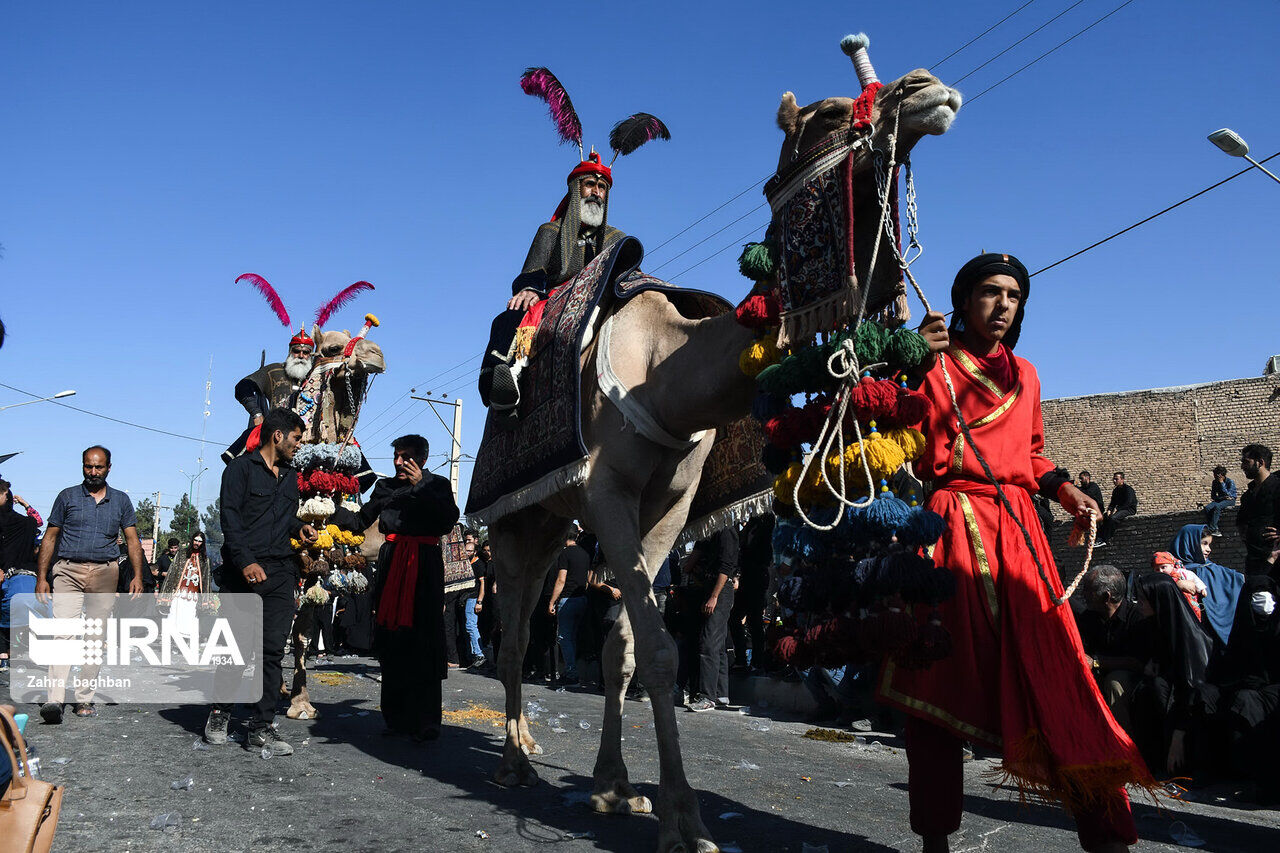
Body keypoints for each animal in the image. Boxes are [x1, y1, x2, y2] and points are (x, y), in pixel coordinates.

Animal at [486, 48, 962, 850]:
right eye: (830, 111)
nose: (929, 90)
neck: (666, 372)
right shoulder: (608, 490)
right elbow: (659, 646)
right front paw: (683, 817)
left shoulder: (670, 505)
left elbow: (623, 644)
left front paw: (616, 788)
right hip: (512, 521)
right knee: (514, 628)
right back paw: (516, 759)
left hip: (553, 521)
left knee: (526, 619)